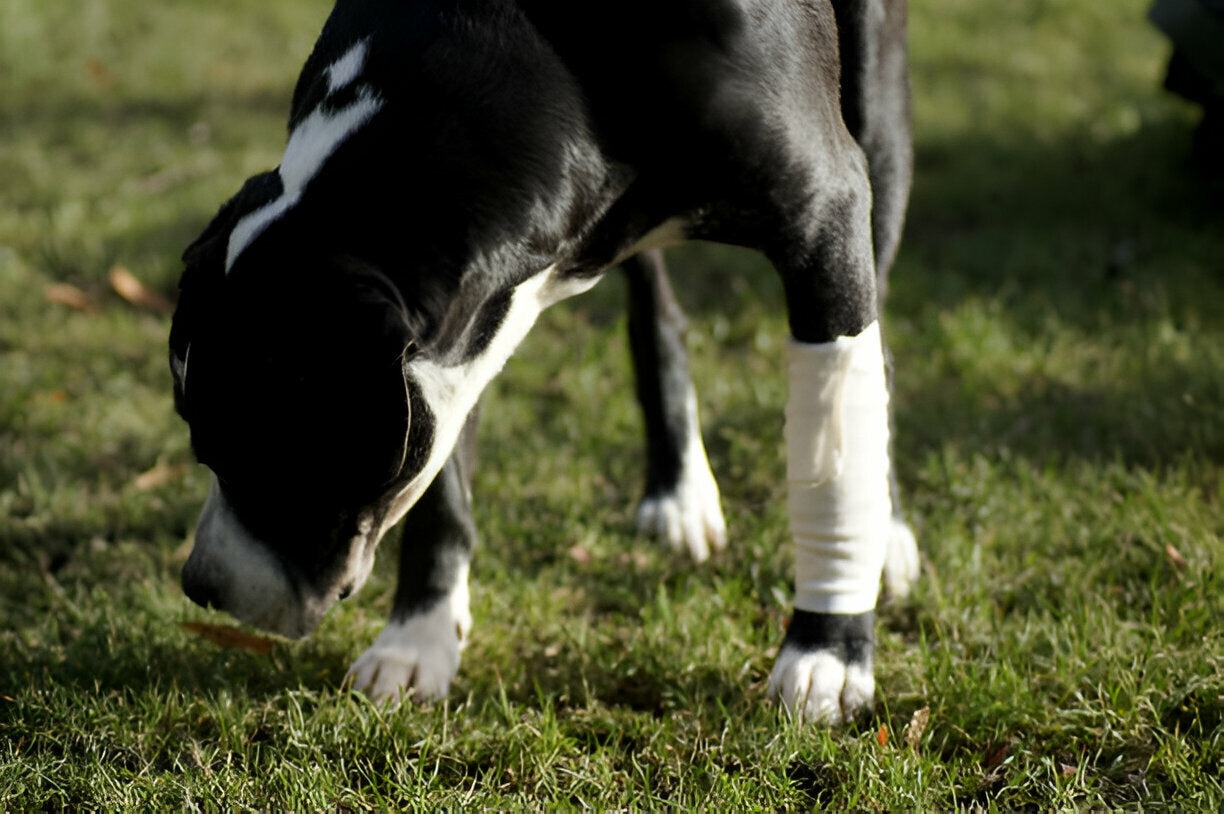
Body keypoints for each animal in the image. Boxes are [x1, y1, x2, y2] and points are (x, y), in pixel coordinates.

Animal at [172, 0, 920, 724]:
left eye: (265, 452)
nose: (199, 585)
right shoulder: (457, 332)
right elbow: (440, 476)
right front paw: (418, 638)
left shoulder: (825, 216)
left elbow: (833, 460)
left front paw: (829, 651)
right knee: (656, 316)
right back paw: (678, 489)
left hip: (876, 125)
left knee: (877, 349)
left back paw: (884, 533)